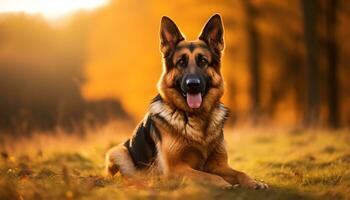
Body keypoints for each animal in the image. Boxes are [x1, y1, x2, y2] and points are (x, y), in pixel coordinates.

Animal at [104, 14, 268, 189]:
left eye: (203, 61)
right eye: (181, 62)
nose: (193, 85)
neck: (197, 119)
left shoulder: (220, 165)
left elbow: (240, 173)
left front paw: (254, 182)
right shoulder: (176, 168)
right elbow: (210, 177)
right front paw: (226, 185)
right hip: (117, 152)